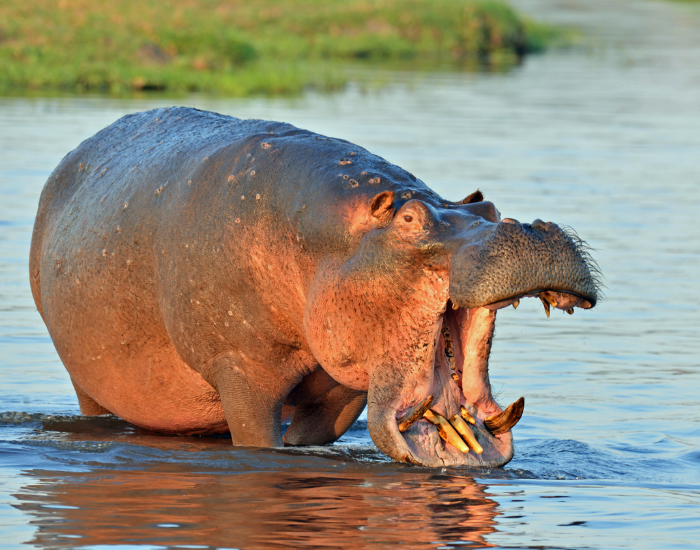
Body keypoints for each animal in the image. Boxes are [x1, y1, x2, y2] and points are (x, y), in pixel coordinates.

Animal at [29, 107, 599, 468]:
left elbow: (314, 434)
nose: (527, 228)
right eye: (410, 219)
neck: (336, 240)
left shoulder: (342, 386)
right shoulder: (240, 369)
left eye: (491, 211)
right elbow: (260, 441)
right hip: (88, 383)